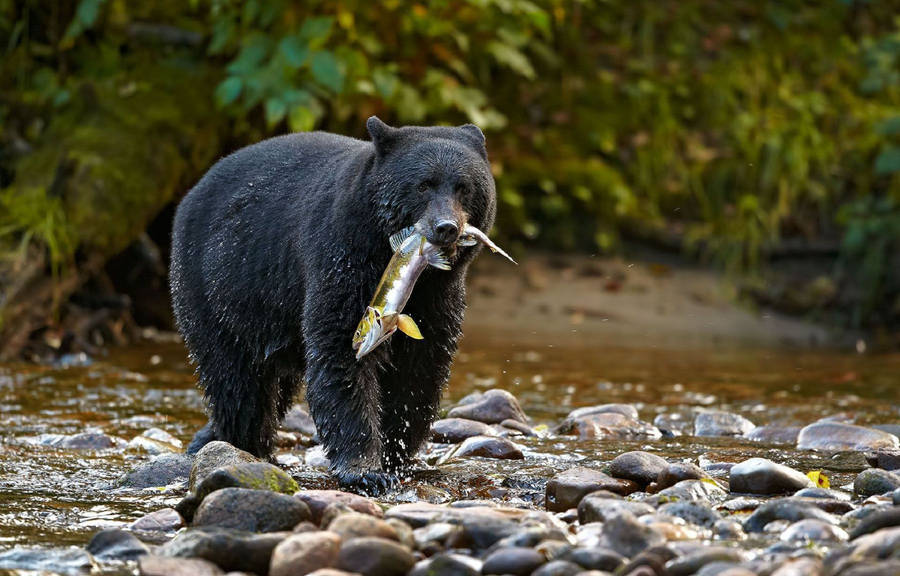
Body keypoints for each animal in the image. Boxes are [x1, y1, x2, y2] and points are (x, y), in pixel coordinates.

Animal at [169, 116, 492, 490]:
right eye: (423, 185)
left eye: (464, 187)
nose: (446, 227)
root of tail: (191, 193)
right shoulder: (342, 257)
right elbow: (340, 350)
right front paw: (366, 470)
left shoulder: (440, 295)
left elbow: (421, 366)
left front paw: (396, 453)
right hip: (215, 290)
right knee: (237, 382)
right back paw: (243, 445)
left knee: (274, 386)